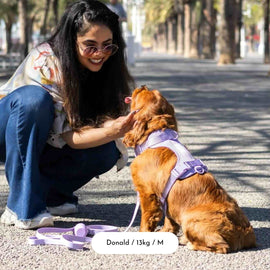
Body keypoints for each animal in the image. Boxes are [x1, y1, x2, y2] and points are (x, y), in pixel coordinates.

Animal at [123, 86, 256, 253]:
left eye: (141, 93)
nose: (142, 86)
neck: (156, 138)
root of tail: (245, 234)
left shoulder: (147, 194)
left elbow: (146, 220)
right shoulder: (167, 201)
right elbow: (169, 221)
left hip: (191, 219)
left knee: (221, 246)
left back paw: (189, 242)